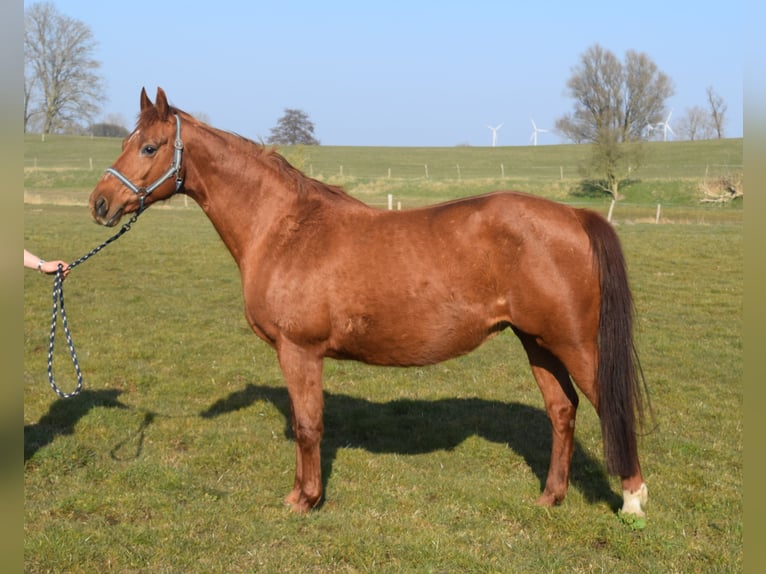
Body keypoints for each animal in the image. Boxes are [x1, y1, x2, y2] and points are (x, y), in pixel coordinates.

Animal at [93, 88, 652, 520]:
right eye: (123, 142)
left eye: (149, 147)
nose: (100, 203)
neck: (285, 228)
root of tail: (576, 217)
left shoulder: (299, 351)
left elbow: (308, 426)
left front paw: (304, 499)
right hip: (537, 342)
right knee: (562, 410)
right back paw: (550, 497)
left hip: (573, 343)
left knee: (608, 407)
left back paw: (632, 501)